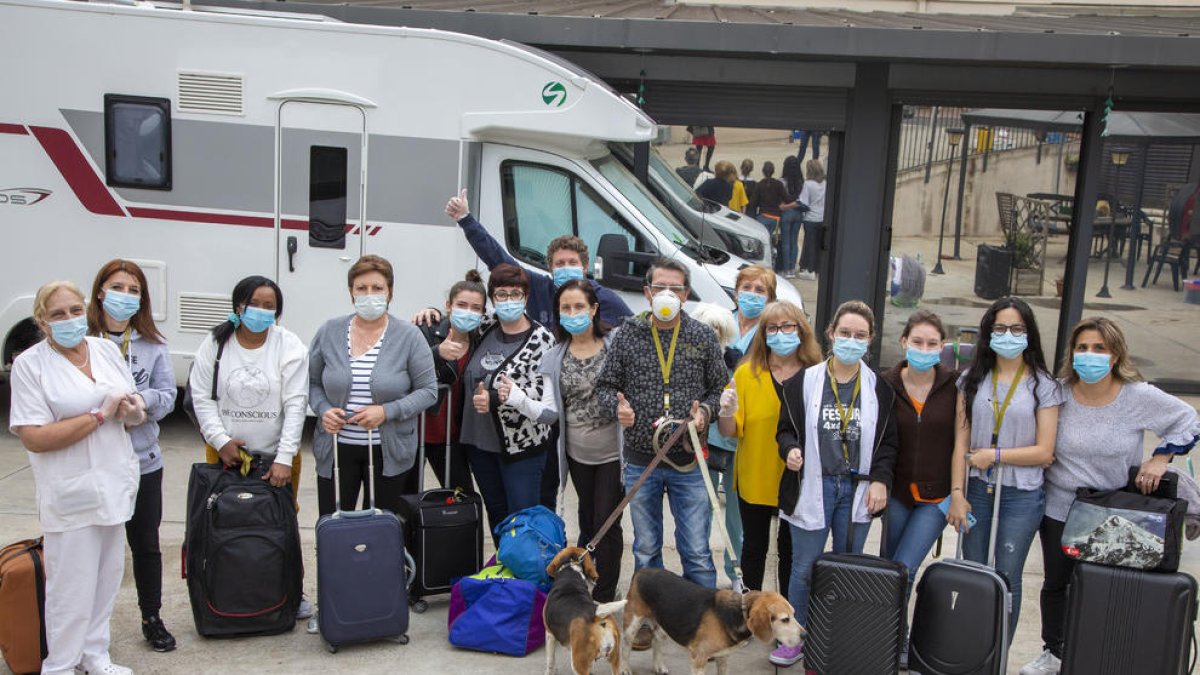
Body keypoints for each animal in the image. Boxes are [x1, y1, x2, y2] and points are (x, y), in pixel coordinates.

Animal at [619, 566, 806, 672]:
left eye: (794, 614)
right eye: (785, 619)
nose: (805, 635)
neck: (739, 613)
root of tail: (643, 571)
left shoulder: (722, 657)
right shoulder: (698, 660)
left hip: (665, 623)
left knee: (656, 642)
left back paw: (659, 667)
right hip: (632, 624)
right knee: (625, 648)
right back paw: (624, 668)